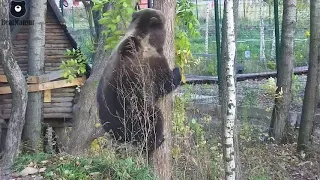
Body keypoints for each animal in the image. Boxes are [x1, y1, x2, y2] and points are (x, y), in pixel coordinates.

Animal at [96, 8, 181, 155]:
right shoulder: (151, 66)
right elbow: (165, 83)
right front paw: (177, 71)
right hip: (133, 109)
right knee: (153, 117)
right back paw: (156, 140)